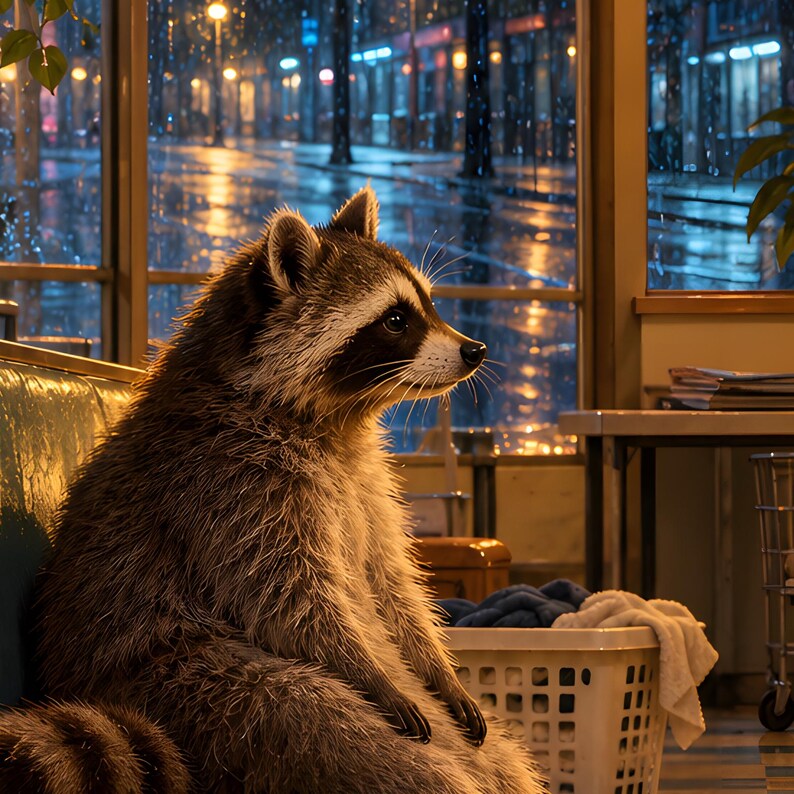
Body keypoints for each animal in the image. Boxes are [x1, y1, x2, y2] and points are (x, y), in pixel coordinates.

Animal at [18, 187, 543, 793]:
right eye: (395, 320)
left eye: (429, 305)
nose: (475, 350)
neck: (335, 420)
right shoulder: (227, 481)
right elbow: (287, 595)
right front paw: (361, 664)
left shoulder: (366, 480)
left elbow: (389, 579)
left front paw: (438, 664)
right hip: (213, 688)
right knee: (344, 732)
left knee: (496, 756)